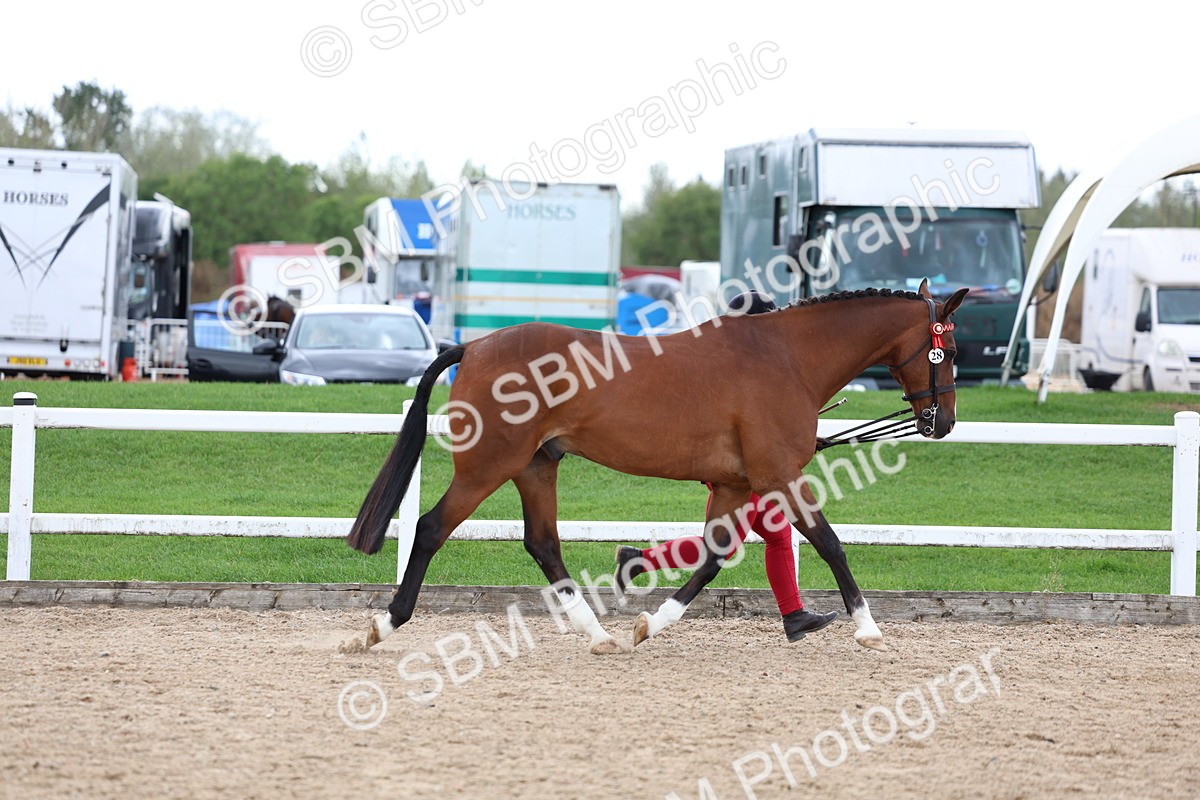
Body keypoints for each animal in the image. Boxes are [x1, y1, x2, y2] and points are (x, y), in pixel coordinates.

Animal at [347, 280, 968, 654]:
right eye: (951, 351)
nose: (943, 421)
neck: (788, 358)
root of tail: (472, 348)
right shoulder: (780, 477)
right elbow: (830, 544)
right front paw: (868, 628)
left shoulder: (735, 484)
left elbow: (714, 556)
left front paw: (652, 619)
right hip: (488, 466)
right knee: (431, 528)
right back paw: (384, 623)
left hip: (536, 466)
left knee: (543, 544)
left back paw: (598, 633)